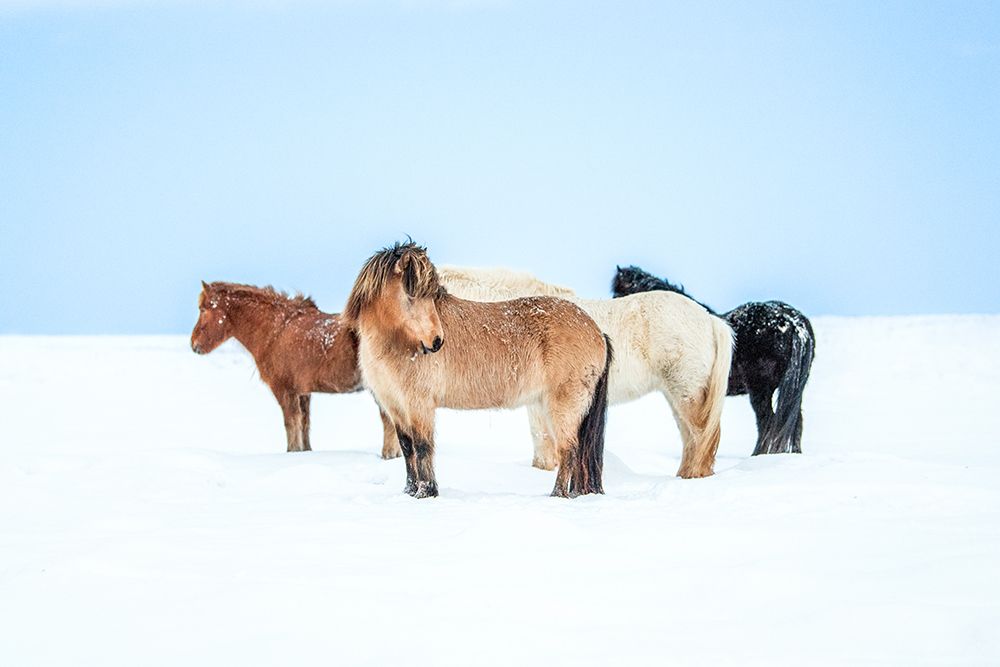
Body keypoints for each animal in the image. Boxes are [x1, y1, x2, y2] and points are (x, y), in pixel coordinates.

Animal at [190, 281, 400, 459]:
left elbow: (291, 424)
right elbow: (304, 425)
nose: (194, 345)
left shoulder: (285, 391)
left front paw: (291, 453)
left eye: (203, 309)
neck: (275, 330)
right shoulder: (302, 393)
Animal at [344, 242, 613, 498]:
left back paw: (557, 495)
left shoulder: (419, 404)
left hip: (562, 406)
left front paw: (426, 493)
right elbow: (407, 448)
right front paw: (410, 492)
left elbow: (422, 447)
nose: (437, 342)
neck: (399, 344)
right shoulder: (395, 405)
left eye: (432, 296)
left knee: (569, 450)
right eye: (411, 296)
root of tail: (597, 331)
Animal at [436, 266, 734, 479]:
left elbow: (544, 443)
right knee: (691, 438)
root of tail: (710, 319)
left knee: (701, 436)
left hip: (687, 391)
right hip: (676, 395)